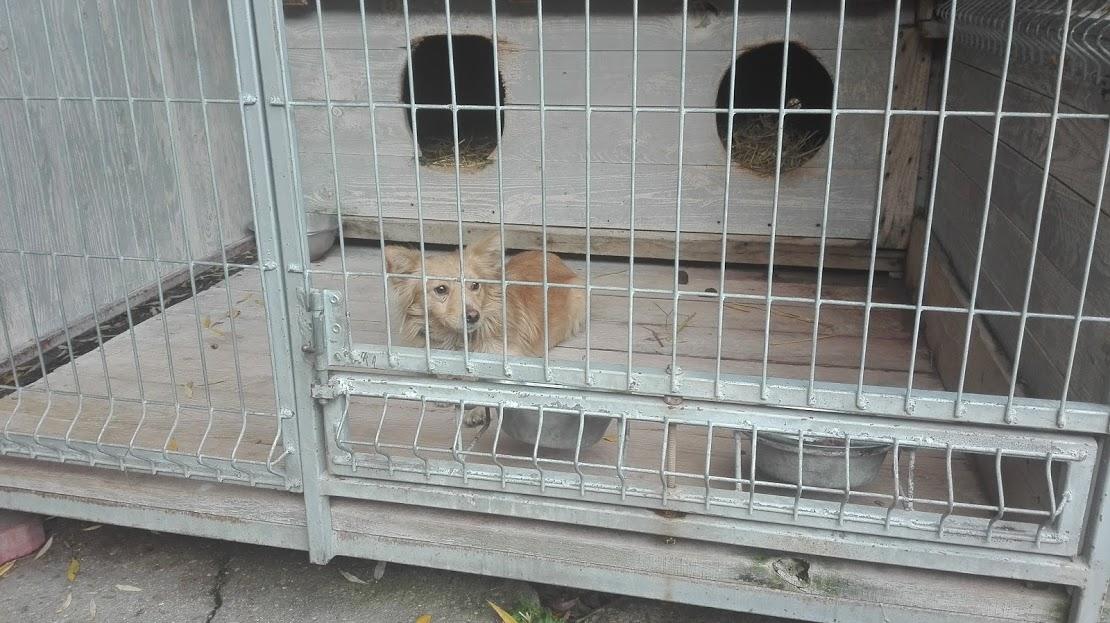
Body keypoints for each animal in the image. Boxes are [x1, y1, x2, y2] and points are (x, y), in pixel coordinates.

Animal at [384, 234, 586, 425]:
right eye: (441, 289)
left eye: (475, 285)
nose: (473, 316)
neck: (458, 340)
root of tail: (550, 255)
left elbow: (490, 389)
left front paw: (477, 410)